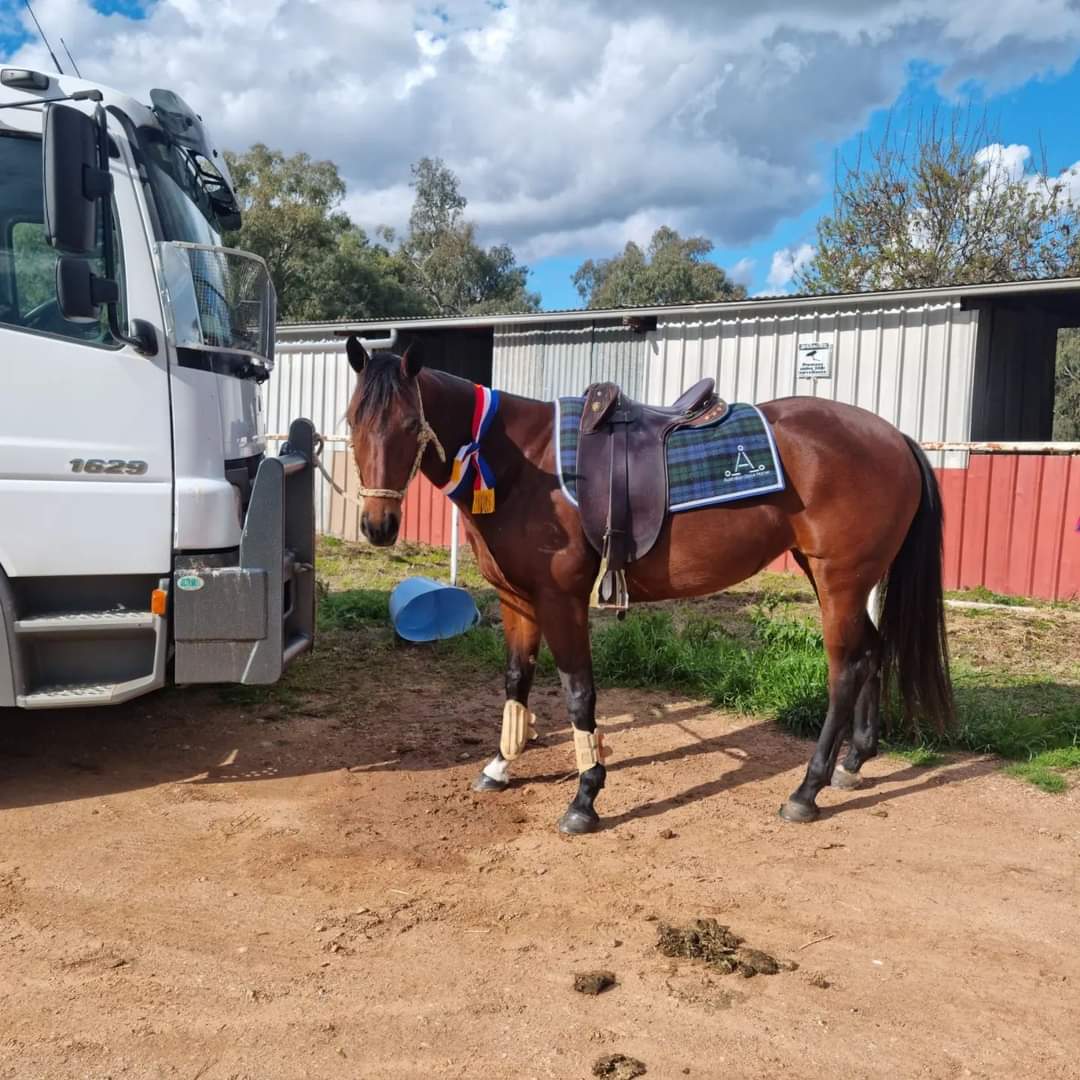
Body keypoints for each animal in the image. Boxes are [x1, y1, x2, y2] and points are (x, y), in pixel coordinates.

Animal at [343, 336, 953, 834]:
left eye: (409, 426)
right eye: (352, 422)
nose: (378, 526)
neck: (521, 466)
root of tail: (894, 436)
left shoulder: (561, 600)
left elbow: (578, 694)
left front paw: (585, 799)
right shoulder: (518, 600)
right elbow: (517, 679)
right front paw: (500, 765)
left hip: (840, 581)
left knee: (847, 667)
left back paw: (807, 790)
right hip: (836, 577)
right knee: (874, 651)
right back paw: (854, 763)